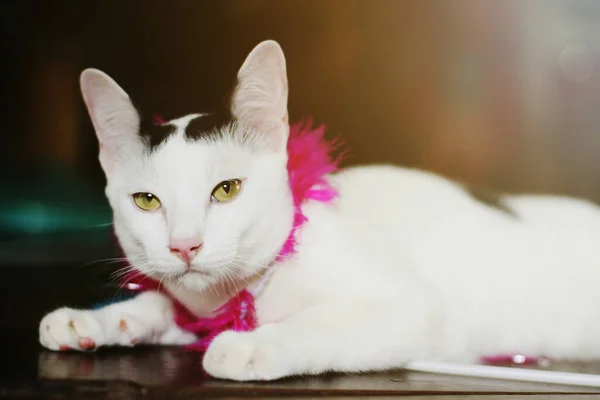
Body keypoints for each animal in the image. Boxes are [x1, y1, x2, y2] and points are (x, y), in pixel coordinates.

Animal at [38, 40, 600, 382]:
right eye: (147, 201)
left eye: (227, 189)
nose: (184, 245)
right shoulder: (196, 308)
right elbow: (163, 308)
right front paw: (99, 320)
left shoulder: (415, 309)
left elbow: (324, 323)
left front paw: (253, 345)